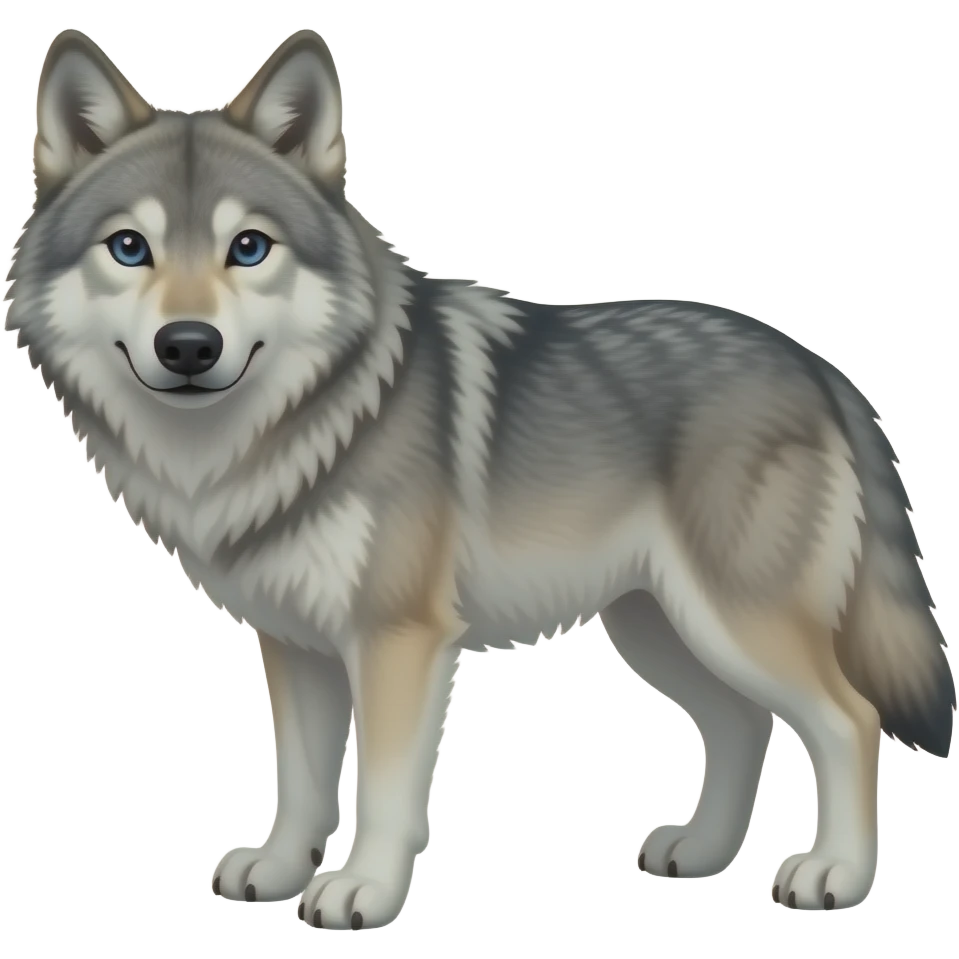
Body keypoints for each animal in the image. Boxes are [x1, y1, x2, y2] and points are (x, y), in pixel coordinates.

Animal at [4, 26, 954, 929]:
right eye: (130, 247)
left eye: (248, 247)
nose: (189, 346)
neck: (286, 433)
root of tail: (817, 368)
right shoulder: (297, 643)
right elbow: (301, 781)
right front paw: (278, 871)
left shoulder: (398, 639)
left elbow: (383, 790)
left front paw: (362, 891)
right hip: (657, 627)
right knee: (743, 722)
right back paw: (701, 851)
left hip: (732, 620)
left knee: (848, 719)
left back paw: (833, 874)